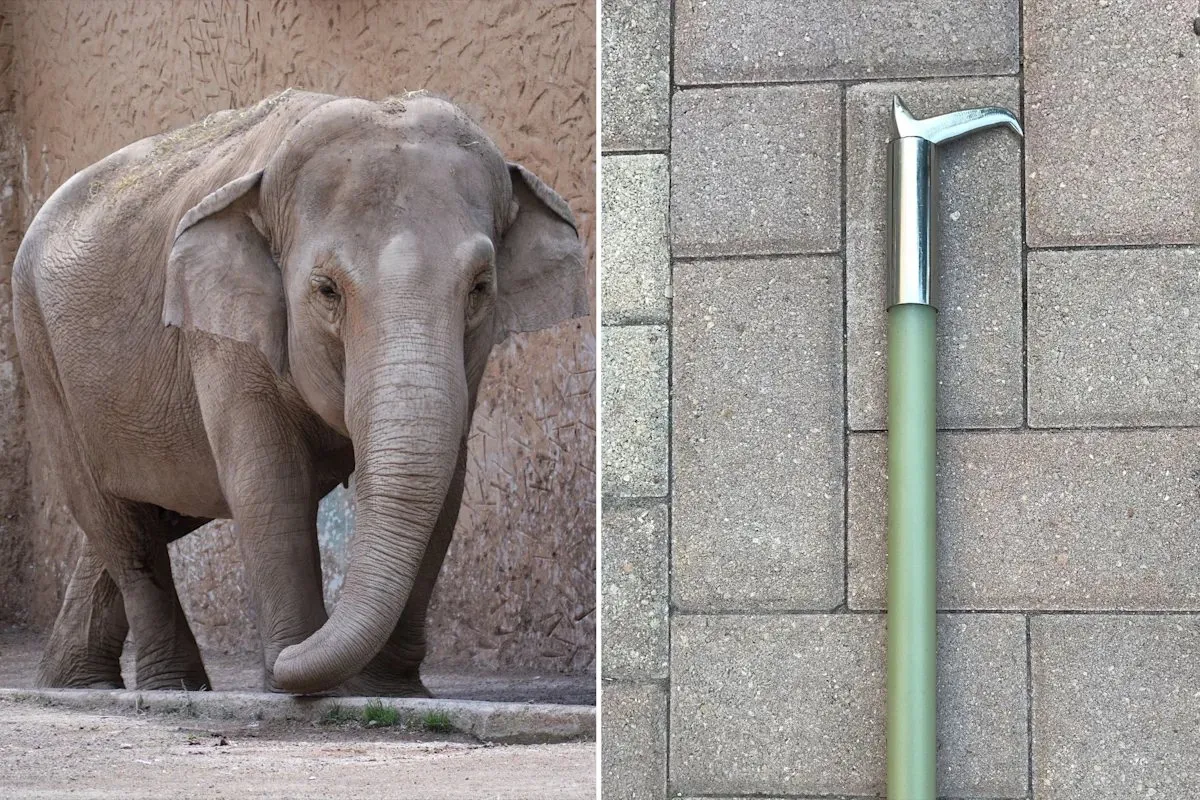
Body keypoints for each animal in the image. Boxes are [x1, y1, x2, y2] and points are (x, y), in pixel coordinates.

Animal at [12, 89, 587, 695]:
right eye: (327, 290)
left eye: (480, 288)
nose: (279, 657)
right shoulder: (222, 335)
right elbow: (269, 480)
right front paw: (298, 677)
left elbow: (448, 484)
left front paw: (390, 692)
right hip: (41, 355)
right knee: (116, 522)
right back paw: (167, 687)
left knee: (150, 513)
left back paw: (76, 683)